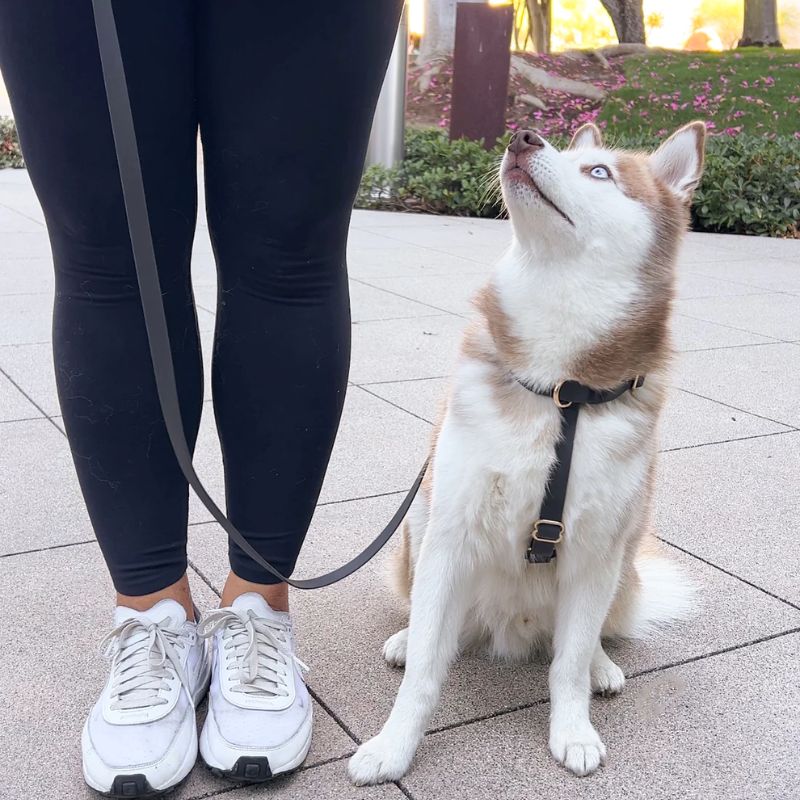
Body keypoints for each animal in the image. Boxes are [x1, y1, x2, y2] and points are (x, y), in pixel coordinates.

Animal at [346, 122, 704, 784]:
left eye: (599, 172)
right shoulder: (451, 532)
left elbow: (568, 663)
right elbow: (425, 673)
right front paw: (393, 747)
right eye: (567, 152)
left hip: (624, 552)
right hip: (419, 523)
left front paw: (573, 729)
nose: (523, 137)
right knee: (435, 623)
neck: (560, 387)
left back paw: (601, 666)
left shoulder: (595, 551)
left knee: (584, 640)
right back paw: (409, 638)